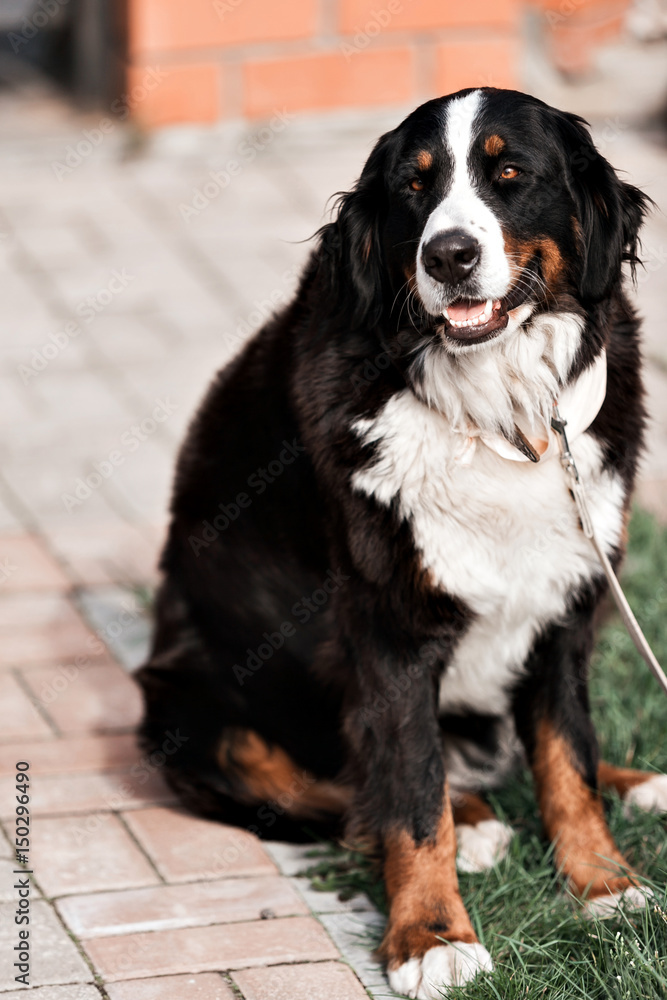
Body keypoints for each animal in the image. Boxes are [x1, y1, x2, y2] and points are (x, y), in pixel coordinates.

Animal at [138, 90, 664, 996]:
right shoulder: (389, 628)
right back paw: (476, 823)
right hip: (196, 718)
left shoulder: (567, 604)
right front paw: (429, 935)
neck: (496, 417)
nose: (449, 255)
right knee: (343, 787)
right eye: (414, 188)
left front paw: (602, 883)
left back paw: (636, 784)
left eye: (508, 173)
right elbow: (412, 793)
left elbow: (567, 758)